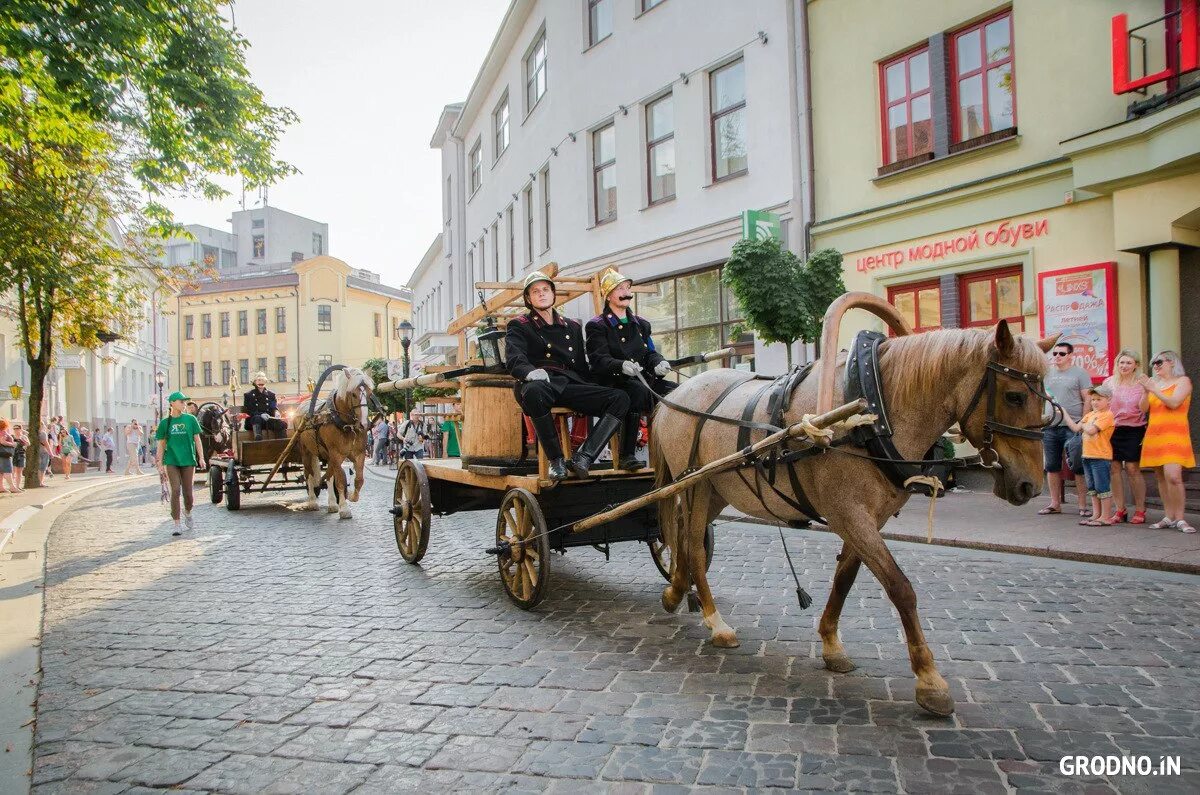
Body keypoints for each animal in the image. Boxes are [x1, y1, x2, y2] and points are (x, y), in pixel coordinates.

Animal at [294, 365, 369, 516]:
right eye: (353, 394)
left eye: (369, 393)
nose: (364, 424)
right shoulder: (336, 454)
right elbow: (340, 480)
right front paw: (344, 508)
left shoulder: (359, 454)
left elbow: (358, 480)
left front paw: (351, 496)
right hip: (306, 452)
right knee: (309, 474)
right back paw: (312, 502)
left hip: (328, 455)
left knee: (329, 476)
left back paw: (332, 503)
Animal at [652, 302, 1056, 720]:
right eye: (1014, 396)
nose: (1030, 485)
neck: (870, 408)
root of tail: (674, 395)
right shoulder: (849, 513)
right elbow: (900, 587)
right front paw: (929, 680)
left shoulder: (868, 517)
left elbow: (845, 578)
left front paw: (831, 644)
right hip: (694, 484)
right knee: (694, 548)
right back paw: (715, 622)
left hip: (717, 489)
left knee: (681, 538)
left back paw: (677, 591)